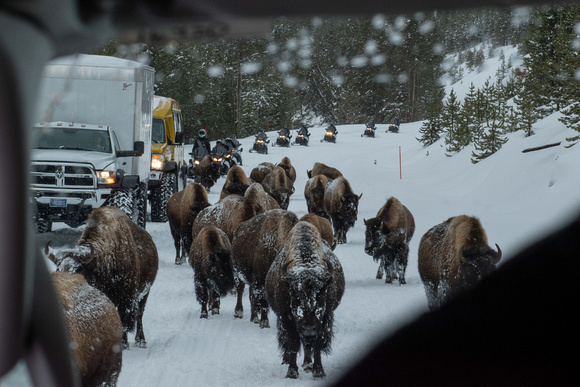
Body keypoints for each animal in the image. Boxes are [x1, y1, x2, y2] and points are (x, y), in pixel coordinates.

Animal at [47, 208, 159, 350]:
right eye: (58, 270)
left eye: (78, 271)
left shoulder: (125, 298)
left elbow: (123, 320)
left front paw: (123, 344)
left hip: (145, 292)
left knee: (139, 315)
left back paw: (141, 341)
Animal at [266, 223, 344, 380]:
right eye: (295, 294)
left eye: (321, 293)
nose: (308, 328)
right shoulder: (287, 318)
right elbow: (292, 343)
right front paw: (292, 372)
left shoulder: (324, 319)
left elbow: (317, 344)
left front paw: (318, 371)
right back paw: (289, 360)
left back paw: (308, 364)